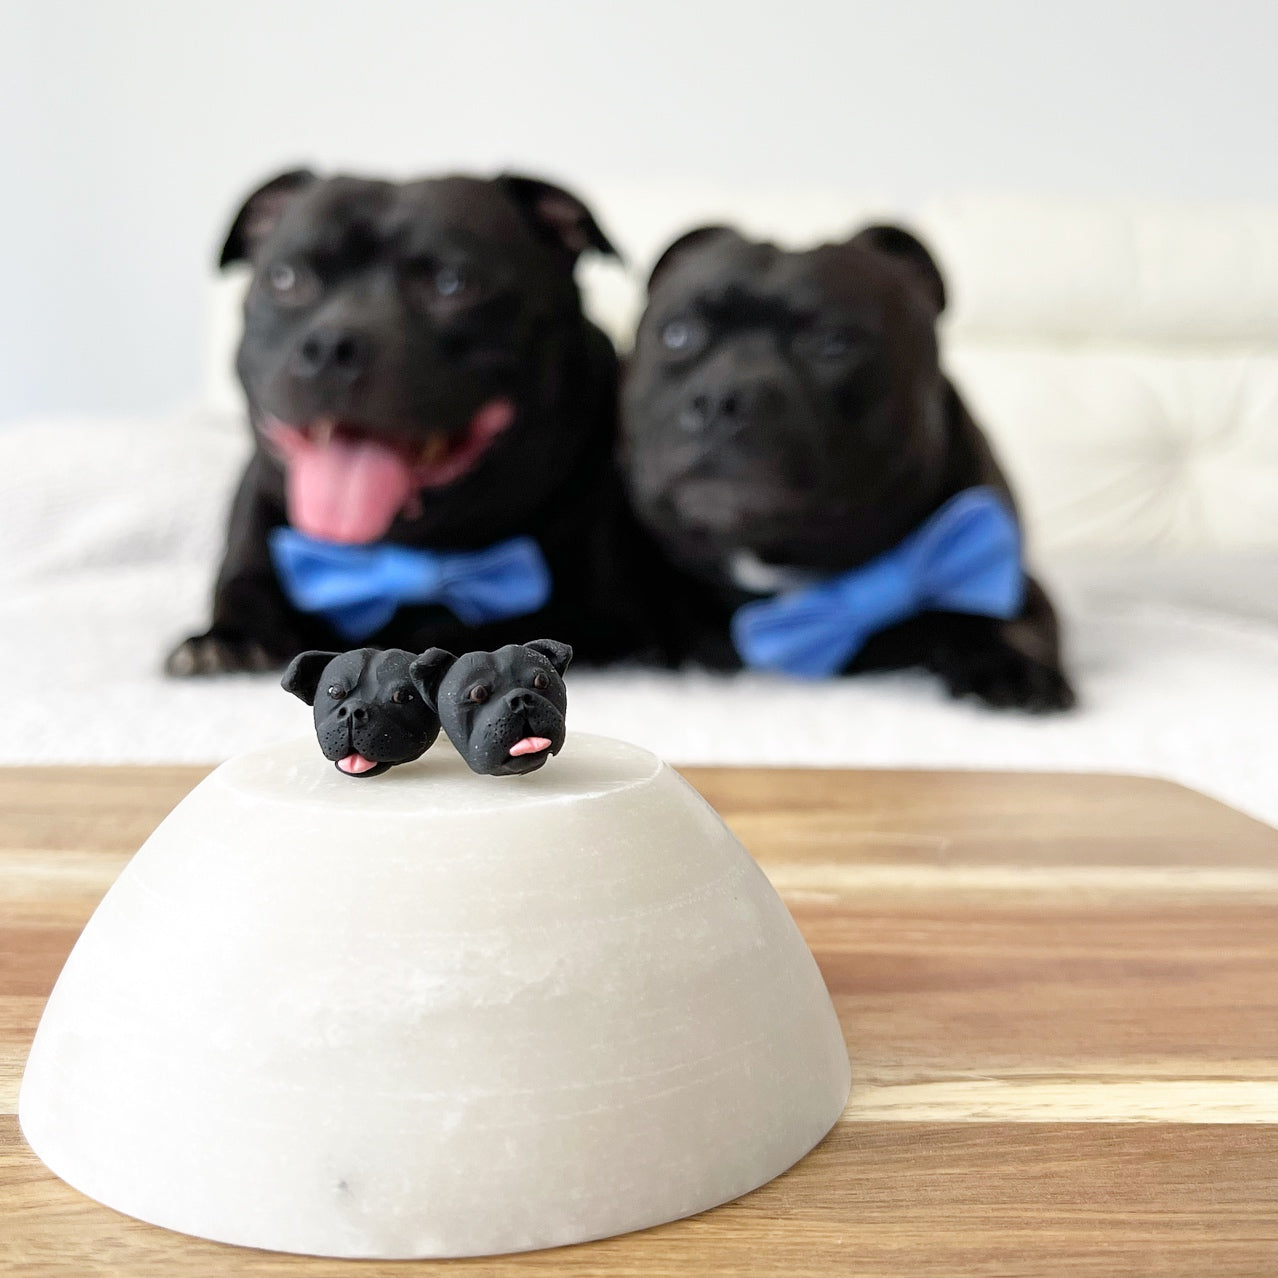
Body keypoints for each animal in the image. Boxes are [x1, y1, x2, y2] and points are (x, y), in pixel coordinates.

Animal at [167, 169, 659, 679]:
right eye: (286, 279)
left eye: (452, 283)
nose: (330, 346)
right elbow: (243, 595)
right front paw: (226, 640)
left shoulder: (605, 619)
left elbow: (501, 628)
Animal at [623, 219, 1073, 710]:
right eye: (678, 334)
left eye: (834, 344)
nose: (722, 399)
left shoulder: (1002, 571)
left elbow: (1003, 617)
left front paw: (1012, 668)